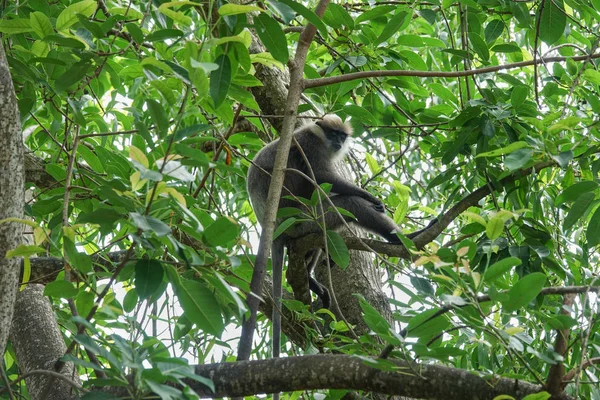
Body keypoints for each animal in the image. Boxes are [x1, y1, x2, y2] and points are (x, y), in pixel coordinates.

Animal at [246, 114, 406, 374]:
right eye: (333, 134)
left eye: (341, 136)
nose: (339, 143)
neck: (318, 136)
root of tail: (274, 228)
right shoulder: (311, 146)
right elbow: (322, 177)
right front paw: (369, 196)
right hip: (304, 219)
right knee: (348, 204)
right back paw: (402, 237)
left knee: (318, 240)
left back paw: (310, 279)